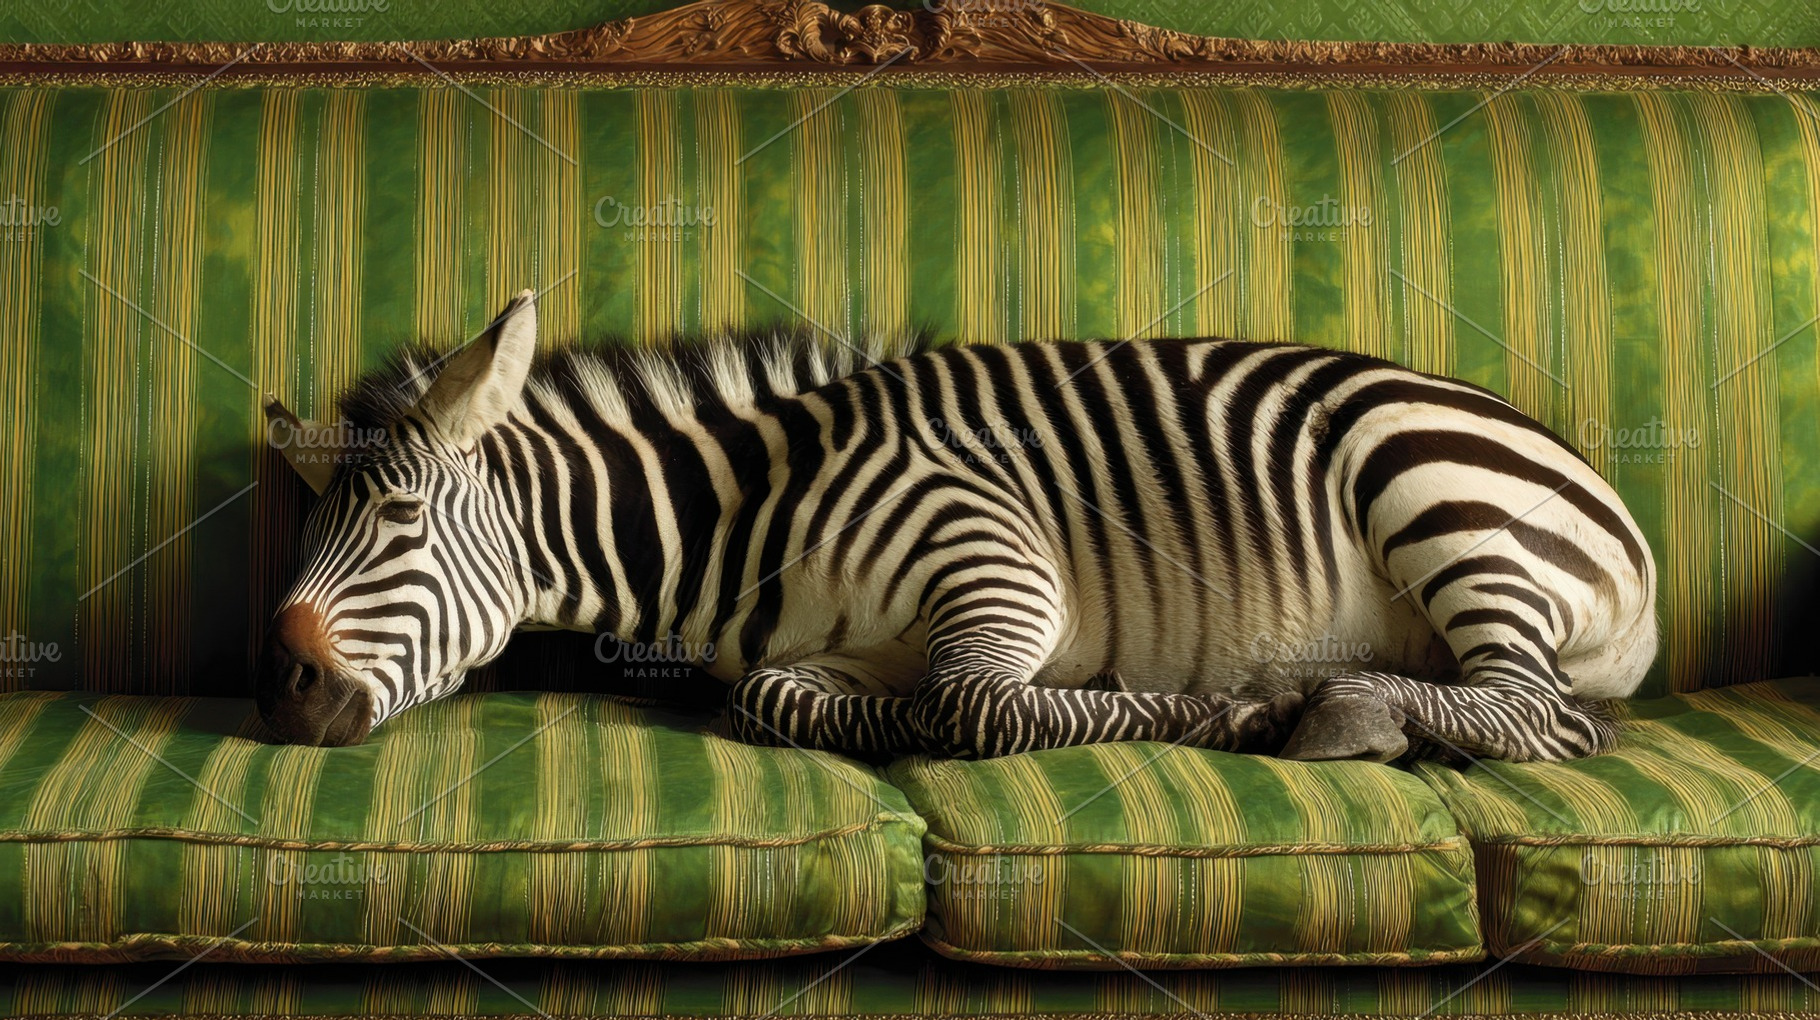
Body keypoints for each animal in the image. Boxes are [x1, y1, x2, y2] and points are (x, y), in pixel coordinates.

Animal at [256, 291, 1657, 763]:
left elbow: (979, 708)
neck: (743, 519)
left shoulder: (995, 564)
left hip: (1430, 493)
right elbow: (783, 701)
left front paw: (1228, 709)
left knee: (1543, 717)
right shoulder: (814, 655)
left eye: (396, 518)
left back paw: (1336, 709)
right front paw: (880, 725)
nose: (287, 700)